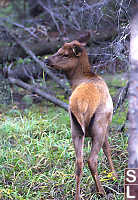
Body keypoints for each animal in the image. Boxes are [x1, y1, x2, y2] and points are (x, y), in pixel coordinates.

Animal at [44, 39, 117, 199]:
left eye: (64, 54)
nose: (47, 60)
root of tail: (80, 105)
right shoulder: (107, 124)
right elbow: (108, 149)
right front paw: (114, 176)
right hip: (99, 125)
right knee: (91, 160)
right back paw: (101, 191)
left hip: (75, 128)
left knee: (79, 162)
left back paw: (78, 195)